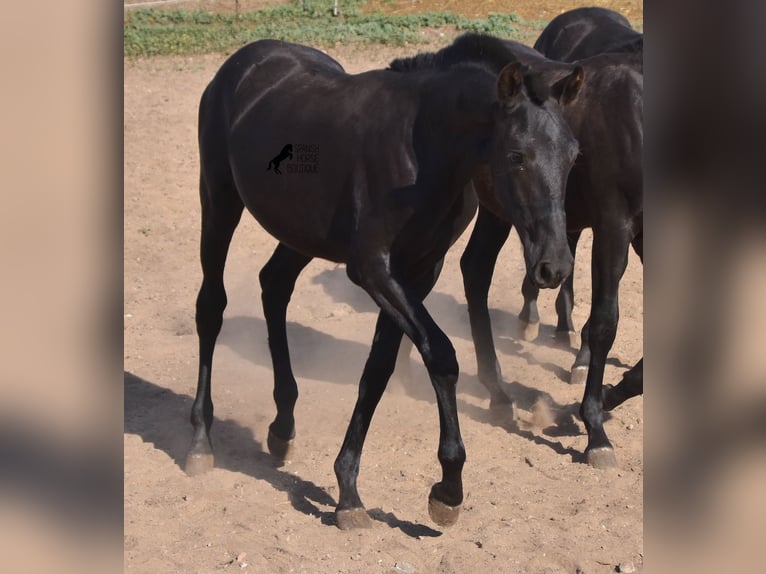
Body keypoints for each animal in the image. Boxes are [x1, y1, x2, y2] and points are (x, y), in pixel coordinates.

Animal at [188, 38, 584, 528]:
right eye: (516, 155)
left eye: (573, 155)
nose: (555, 266)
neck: (422, 149)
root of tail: (246, 60)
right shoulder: (373, 269)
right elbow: (441, 355)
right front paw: (448, 488)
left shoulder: (419, 272)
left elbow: (378, 369)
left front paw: (348, 491)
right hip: (219, 200)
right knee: (211, 307)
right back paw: (201, 439)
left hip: (301, 232)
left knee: (274, 285)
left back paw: (283, 425)